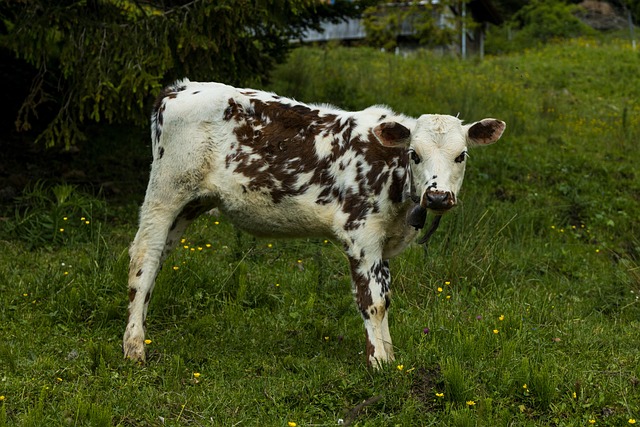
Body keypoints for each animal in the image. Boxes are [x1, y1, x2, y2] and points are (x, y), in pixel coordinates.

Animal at [124, 79, 504, 368]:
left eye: (461, 155)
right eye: (415, 154)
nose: (438, 197)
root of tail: (180, 88)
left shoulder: (383, 243)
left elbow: (385, 297)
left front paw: (390, 356)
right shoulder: (361, 234)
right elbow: (372, 300)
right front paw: (379, 364)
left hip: (190, 205)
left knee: (159, 259)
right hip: (166, 192)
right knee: (145, 257)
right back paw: (134, 347)